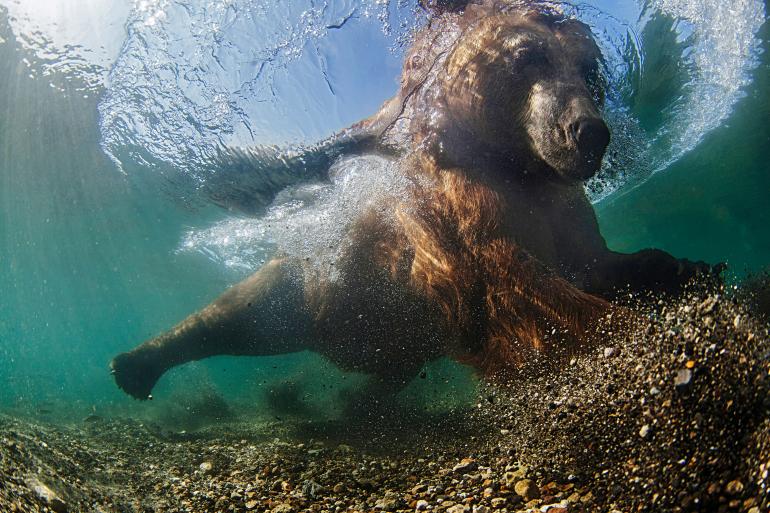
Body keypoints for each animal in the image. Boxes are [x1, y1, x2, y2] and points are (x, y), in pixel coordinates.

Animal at [111, 0, 716, 400]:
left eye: (590, 70)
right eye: (528, 57)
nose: (587, 131)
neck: (517, 168)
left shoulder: (562, 207)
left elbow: (593, 258)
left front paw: (684, 267)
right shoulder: (462, 212)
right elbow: (510, 284)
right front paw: (626, 341)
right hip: (316, 280)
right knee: (244, 312)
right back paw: (135, 363)